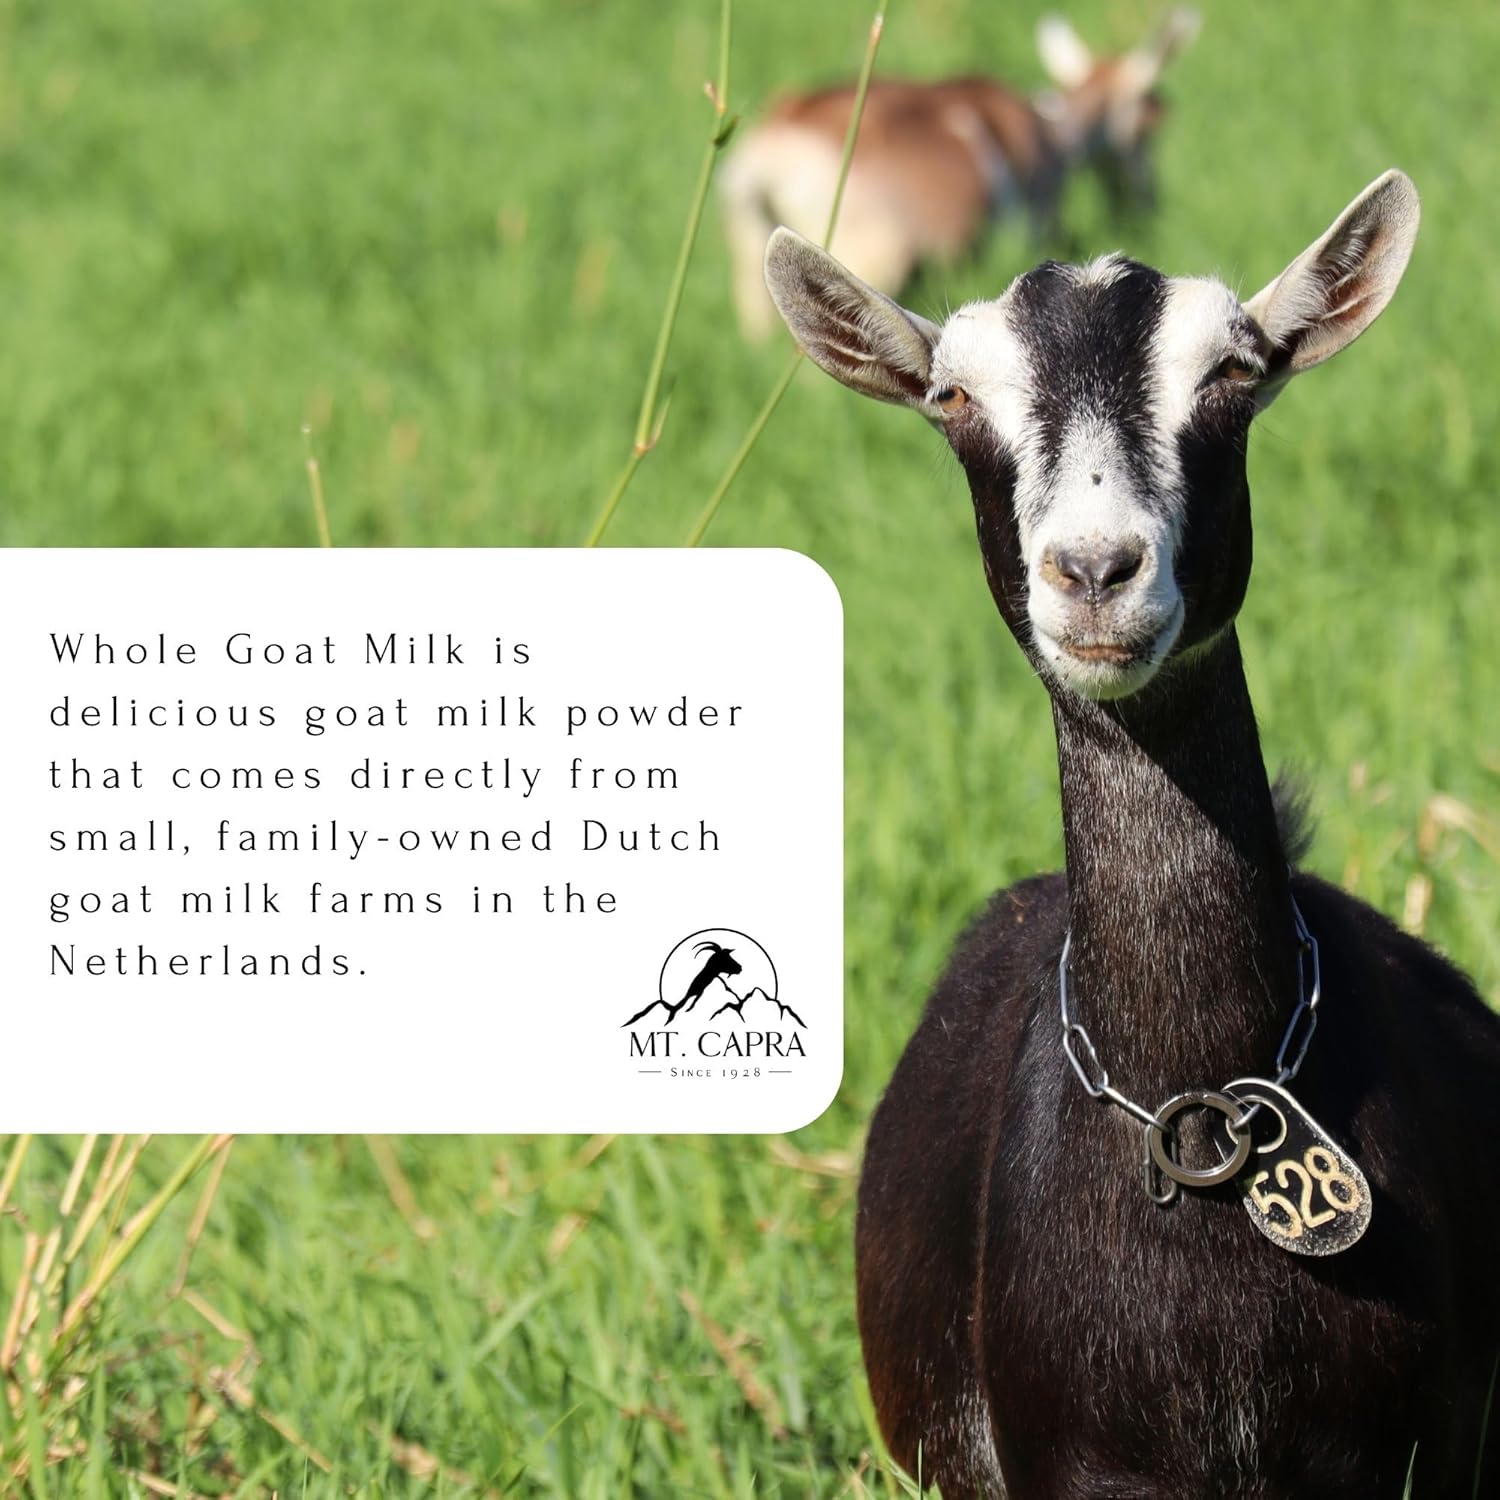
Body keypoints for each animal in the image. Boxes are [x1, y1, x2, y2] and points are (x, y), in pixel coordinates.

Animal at [723, 9, 1199, 339]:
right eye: (1149, 122)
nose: (1149, 202)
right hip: (865, 256)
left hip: (753, 248)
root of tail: (773, 152)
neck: (1054, 130)